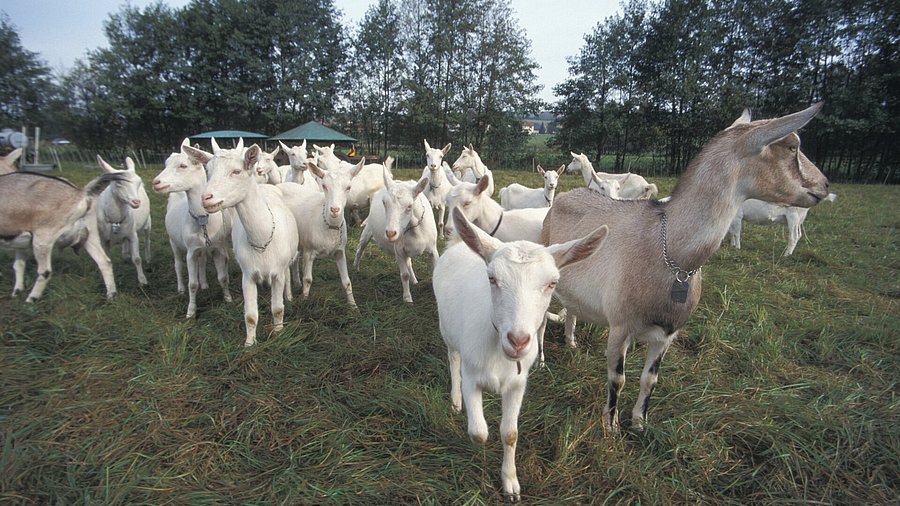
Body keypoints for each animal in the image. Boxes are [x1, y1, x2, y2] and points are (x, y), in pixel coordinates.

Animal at [0, 172, 123, 302]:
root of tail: (81, 193)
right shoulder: (21, 244)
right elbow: (18, 265)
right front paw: (17, 291)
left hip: (43, 237)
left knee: (46, 271)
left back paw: (31, 299)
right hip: (90, 233)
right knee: (104, 262)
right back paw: (111, 295)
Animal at [356, 156, 440, 302]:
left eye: (409, 206)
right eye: (384, 203)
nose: (390, 233)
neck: (414, 229)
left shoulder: (433, 249)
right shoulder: (399, 251)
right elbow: (404, 275)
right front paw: (407, 299)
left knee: (409, 263)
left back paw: (414, 280)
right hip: (368, 230)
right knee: (360, 248)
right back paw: (355, 269)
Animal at [434, 207, 608, 502]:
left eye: (553, 283)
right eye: (491, 278)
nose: (517, 340)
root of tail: (458, 245)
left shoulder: (518, 384)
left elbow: (510, 434)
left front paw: (511, 484)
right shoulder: (472, 375)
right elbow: (479, 432)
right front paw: (480, 449)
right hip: (447, 330)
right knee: (452, 358)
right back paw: (455, 400)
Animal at [540, 104, 828, 434]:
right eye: (792, 146)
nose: (825, 185)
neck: (672, 253)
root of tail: (564, 196)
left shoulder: (668, 333)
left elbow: (650, 379)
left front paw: (639, 423)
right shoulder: (621, 325)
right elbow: (618, 378)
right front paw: (611, 428)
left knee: (573, 310)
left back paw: (571, 342)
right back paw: (542, 360)